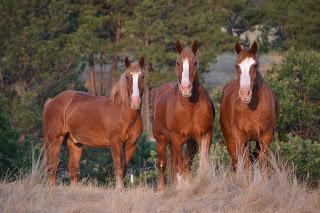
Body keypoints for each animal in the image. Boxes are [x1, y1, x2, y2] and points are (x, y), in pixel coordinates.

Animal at [42, 57, 145, 190]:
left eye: (142, 76)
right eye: (128, 76)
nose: (135, 102)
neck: (122, 112)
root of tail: (51, 101)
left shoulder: (131, 144)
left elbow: (124, 168)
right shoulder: (115, 143)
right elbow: (118, 166)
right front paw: (118, 189)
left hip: (75, 143)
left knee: (73, 170)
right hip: (55, 140)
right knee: (53, 166)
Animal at [220, 41, 278, 171]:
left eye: (255, 65)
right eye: (236, 66)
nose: (245, 94)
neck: (253, 109)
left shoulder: (265, 138)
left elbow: (262, 164)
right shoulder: (240, 137)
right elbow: (245, 165)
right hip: (231, 142)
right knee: (236, 162)